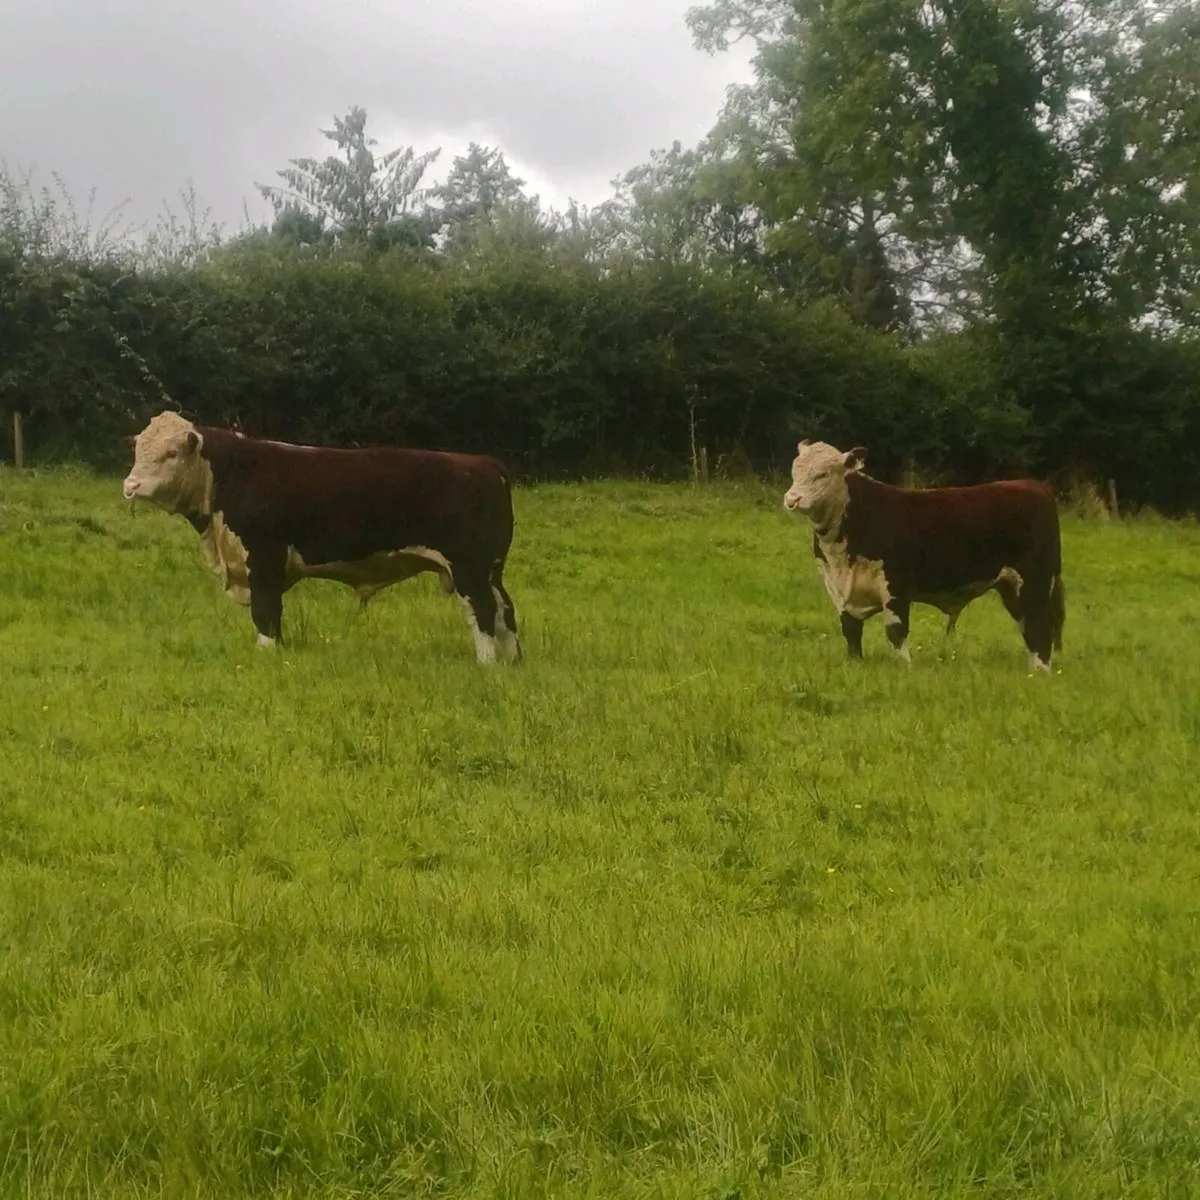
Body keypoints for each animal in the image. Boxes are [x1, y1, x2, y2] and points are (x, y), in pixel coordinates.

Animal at [122, 411, 521, 665]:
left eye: (172, 452)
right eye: (138, 450)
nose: (131, 485)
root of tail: (482, 463)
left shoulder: (264, 560)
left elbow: (265, 612)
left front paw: (266, 654)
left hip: (469, 567)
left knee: (482, 610)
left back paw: (486, 663)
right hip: (491, 568)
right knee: (504, 609)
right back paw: (512, 662)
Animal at [782, 440, 1065, 671]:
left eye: (822, 474)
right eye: (794, 471)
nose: (791, 499)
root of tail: (1034, 485)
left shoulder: (895, 586)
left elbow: (896, 631)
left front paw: (905, 669)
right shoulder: (840, 592)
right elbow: (851, 632)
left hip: (1035, 581)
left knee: (1040, 624)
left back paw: (1040, 672)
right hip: (1011, 586)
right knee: (1028, 625)